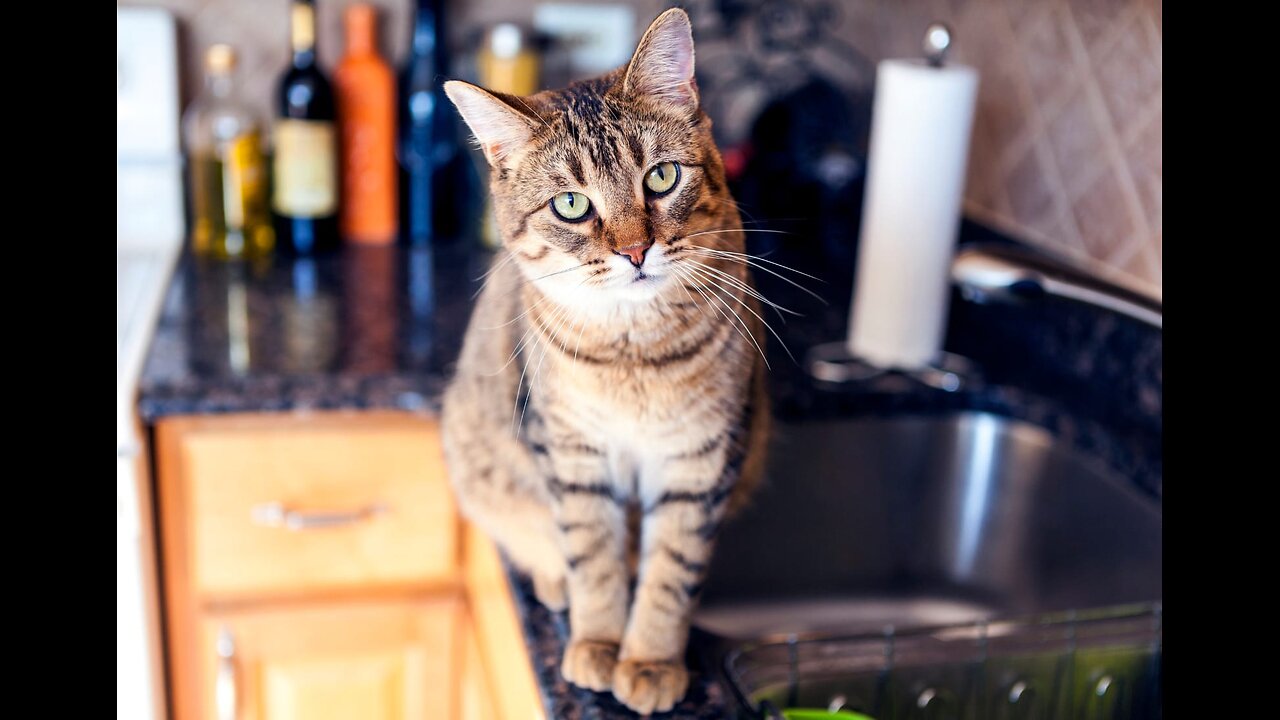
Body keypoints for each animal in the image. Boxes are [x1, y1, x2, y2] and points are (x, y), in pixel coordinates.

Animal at [442, 11, 768, 712]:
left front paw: (648, 659)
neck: (633, 355)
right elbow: (592, 555)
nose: (636, 250)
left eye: (661, 177)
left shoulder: (703, 457)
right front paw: (597, 641)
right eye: (571, 204)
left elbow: (670, 571)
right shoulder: (571, 453)